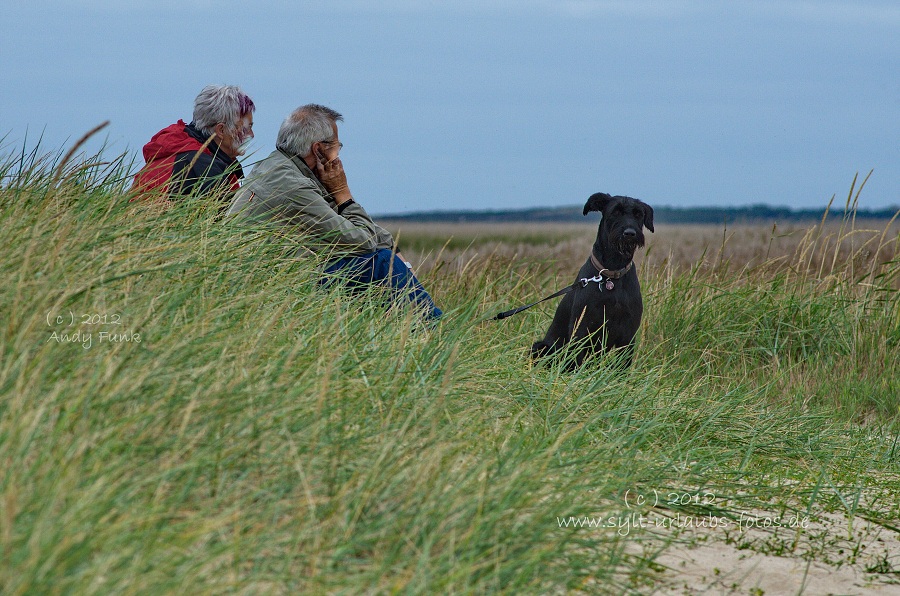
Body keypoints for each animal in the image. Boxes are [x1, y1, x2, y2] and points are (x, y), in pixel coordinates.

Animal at [536, 193, 652, 368]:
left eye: (638, 214)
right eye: (615, 211)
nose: (630, 233)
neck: (612, 274)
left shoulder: (628, 332)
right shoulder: (582, 329)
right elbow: (577, 361)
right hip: (541, 348)